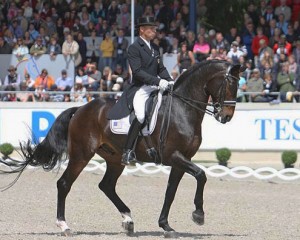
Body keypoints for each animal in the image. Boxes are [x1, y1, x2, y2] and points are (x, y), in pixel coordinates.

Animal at [0, 60, 244, 238]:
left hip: (115, 158)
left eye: (239, 85)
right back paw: (64, 226)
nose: (226, 116)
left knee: (106, 185)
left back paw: (128, 220)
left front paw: (166, 226)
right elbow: (201, 175)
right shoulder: (174, 156)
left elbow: (171, 192)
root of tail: (81, 108)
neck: (181, 109)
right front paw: (198, 215)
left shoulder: (181, 160)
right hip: (81, 154)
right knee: (64, 184)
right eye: (228, 84)